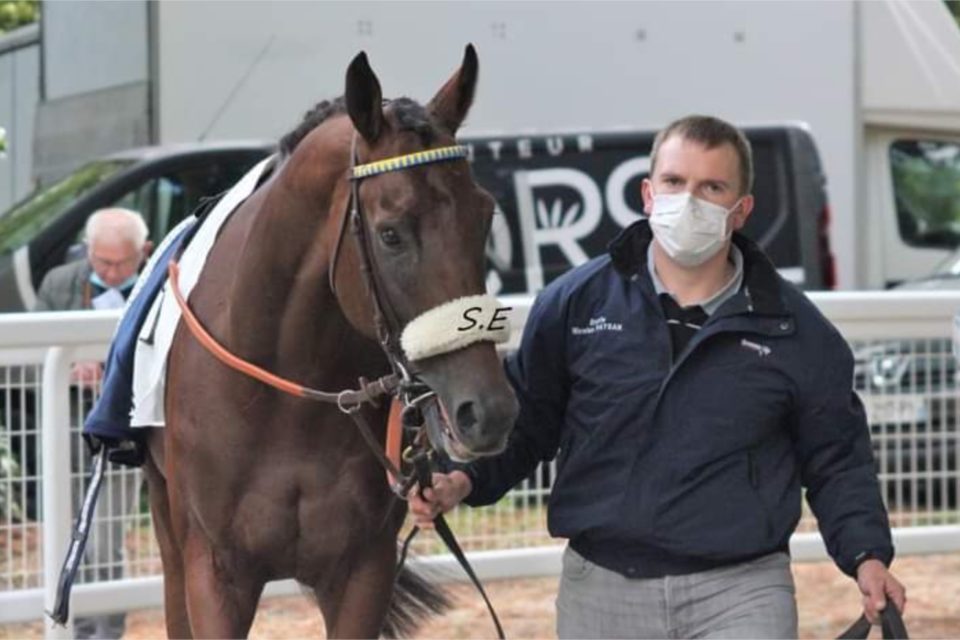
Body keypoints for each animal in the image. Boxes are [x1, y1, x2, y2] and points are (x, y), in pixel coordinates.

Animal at [142, 46, 516, 640]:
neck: (285, 395)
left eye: (485, 218)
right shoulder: (215, 572)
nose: (490, 410)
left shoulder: (363, 568)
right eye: (391, 233)